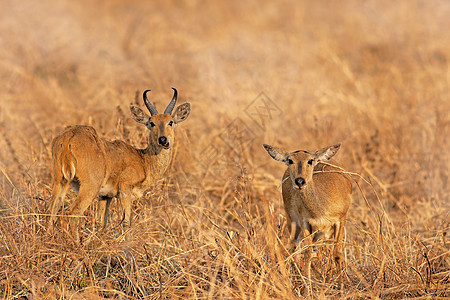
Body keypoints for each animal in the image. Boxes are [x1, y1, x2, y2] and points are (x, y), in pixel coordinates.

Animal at [48, 88, 190, 240]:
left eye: (171, 122)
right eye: (152, 123)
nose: (163, 140)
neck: (143, 160)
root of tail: (68, 137)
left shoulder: (105, 196)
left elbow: (101, 222)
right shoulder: (125, 189)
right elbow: (126, 222)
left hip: (61, 181)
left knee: (52, 208)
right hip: (89, 187)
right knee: (74, 212)